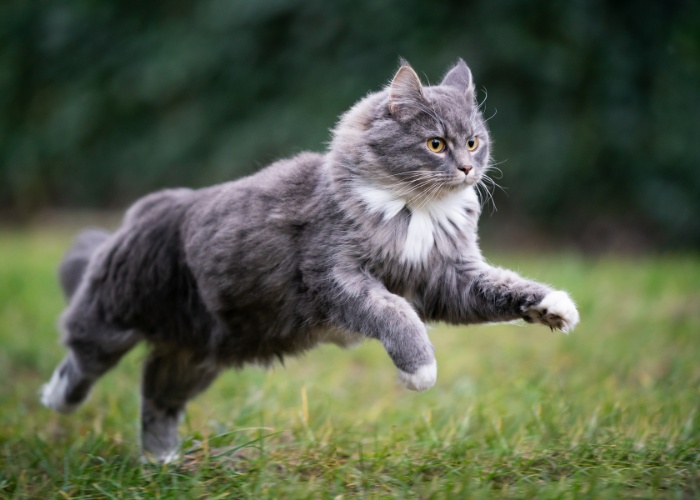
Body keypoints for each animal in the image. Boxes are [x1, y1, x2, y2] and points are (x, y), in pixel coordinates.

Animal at [42, 60, 580, 462]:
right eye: (435, 144)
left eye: (472, 142)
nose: (468, 168)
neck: (417, 212)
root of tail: (145, 209)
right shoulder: (335, 274)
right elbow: (394, 314)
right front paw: (420, 370)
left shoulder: (449, 278)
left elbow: (503, 288)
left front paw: (554, 308)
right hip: (113, 319)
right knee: (80, 359)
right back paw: (57, 400)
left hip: (194, 356)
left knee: (156, 396)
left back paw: (162, 463)